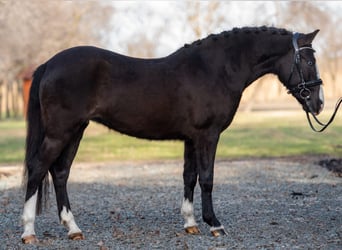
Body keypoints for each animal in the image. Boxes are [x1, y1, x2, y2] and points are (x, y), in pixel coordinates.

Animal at [22, 26, 324, 243]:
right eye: (309, 60)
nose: (319, 103)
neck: (215, 69)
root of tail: (49, 64)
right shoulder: (208, 136)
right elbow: (207, 179)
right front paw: (214, 224)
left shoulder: (191, 138)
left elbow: (189, 177)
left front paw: (190, 223)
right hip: (60, 133)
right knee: (38, 170)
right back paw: (29, 232)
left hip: (75, 131)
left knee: (60, 173)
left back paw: (73, 229)